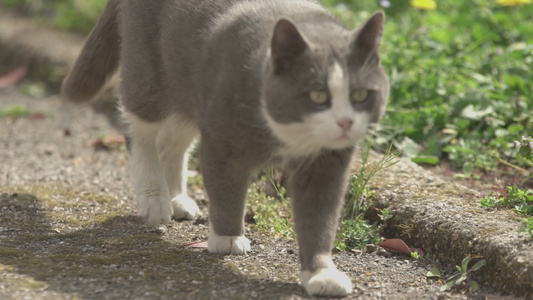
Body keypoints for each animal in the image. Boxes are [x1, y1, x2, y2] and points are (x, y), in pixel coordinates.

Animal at [62, 0, 388, 296]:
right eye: (317, 95)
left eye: (361, 94)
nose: (345, 121)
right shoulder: (221, 142)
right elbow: (225, 190)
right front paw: (228, 239)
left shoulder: (326, 166)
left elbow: (320, 218)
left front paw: (321, 273)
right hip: (148, 68)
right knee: (139, 126)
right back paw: (155, 200)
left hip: (189, 91)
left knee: (170, 141)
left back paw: (177, 199)